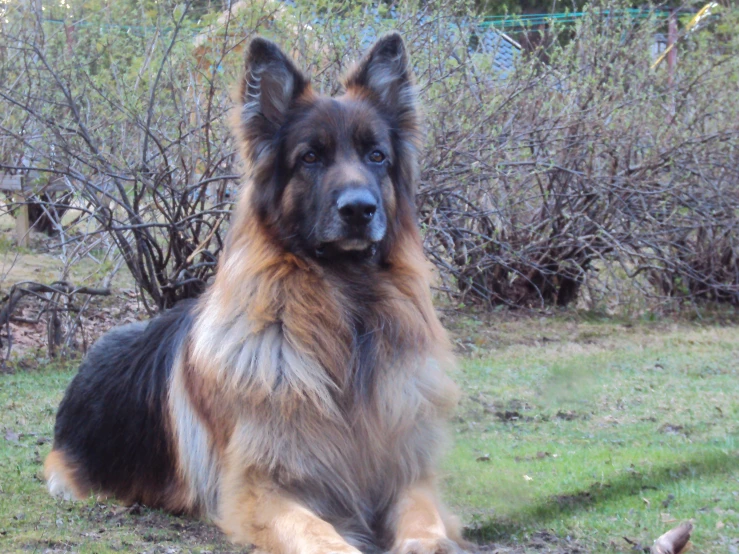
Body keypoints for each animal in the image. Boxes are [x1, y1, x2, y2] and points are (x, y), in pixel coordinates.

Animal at [43, 33, 462, 552]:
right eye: (310, 157)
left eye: (377, 156)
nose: (359, 210)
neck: (345, 306)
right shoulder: (260, 492)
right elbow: (322, 537)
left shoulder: (406, 477)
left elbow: (425, 524)